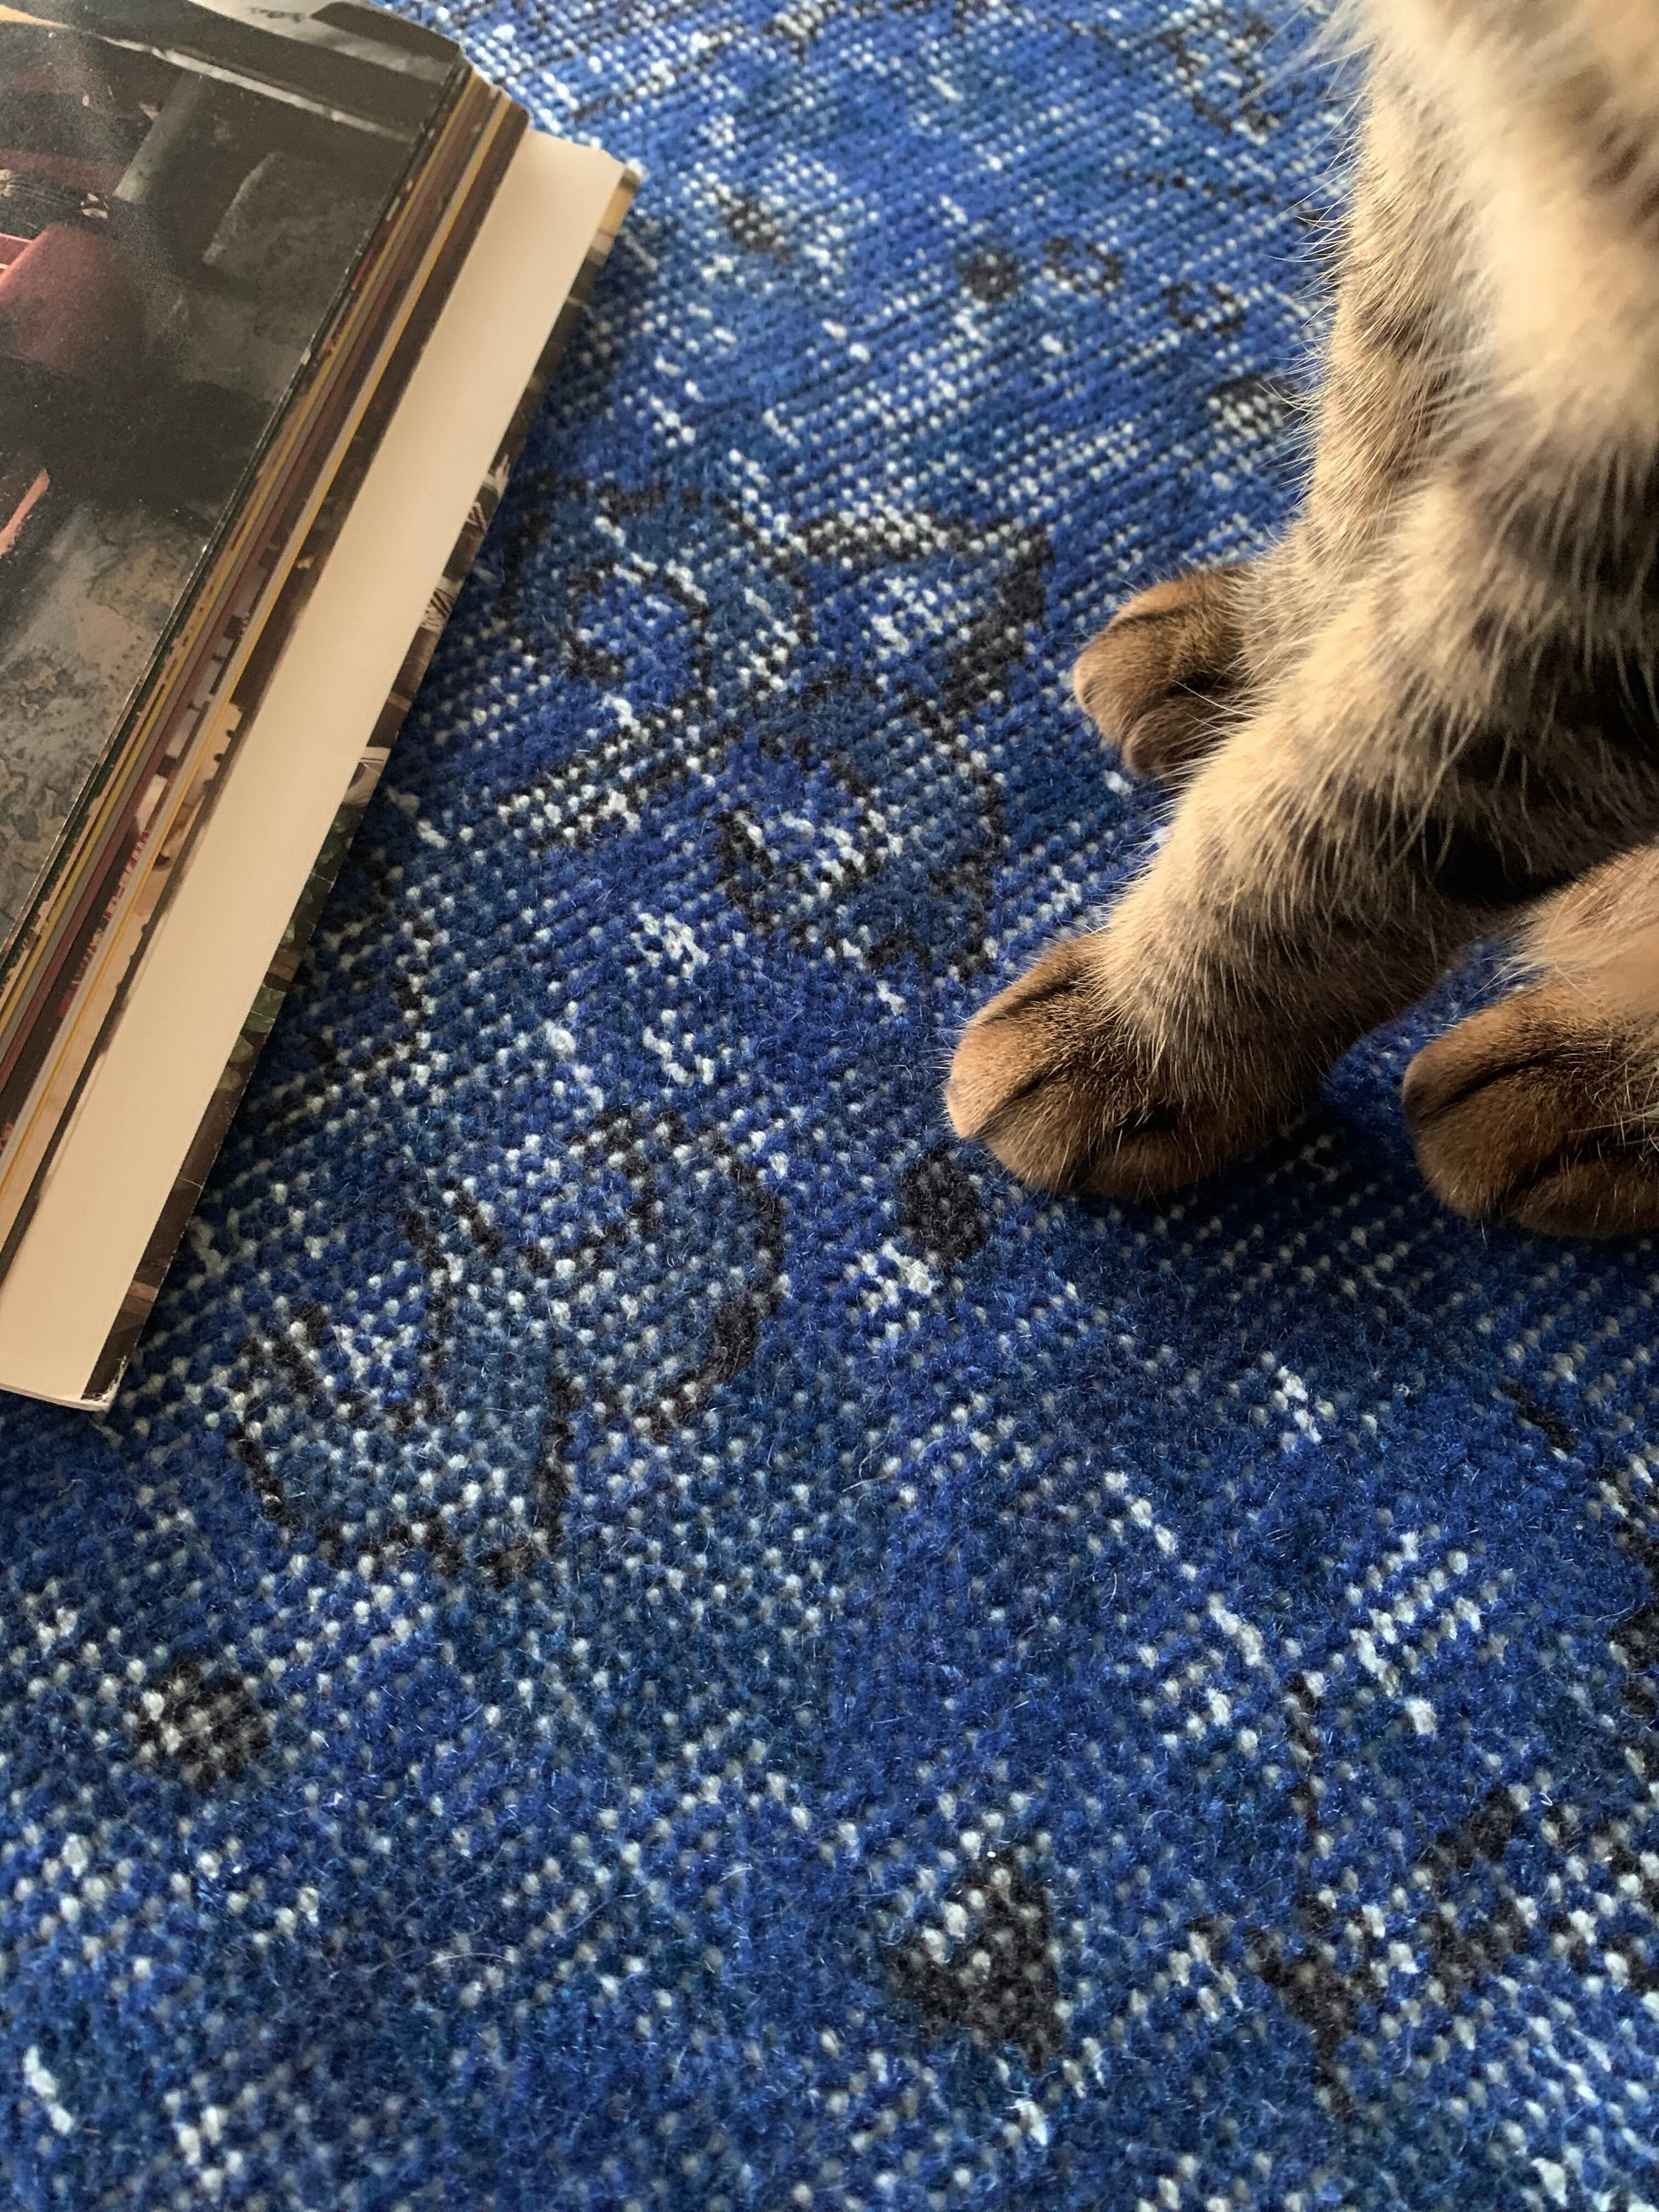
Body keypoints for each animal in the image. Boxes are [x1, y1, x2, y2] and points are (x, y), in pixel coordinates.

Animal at [947, 0, 1659, 1238]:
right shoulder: (1444, 104)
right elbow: (1380, 405)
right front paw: (1268, 660)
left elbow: (1377, 798)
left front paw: (1143, 1037)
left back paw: (1594, 1088)